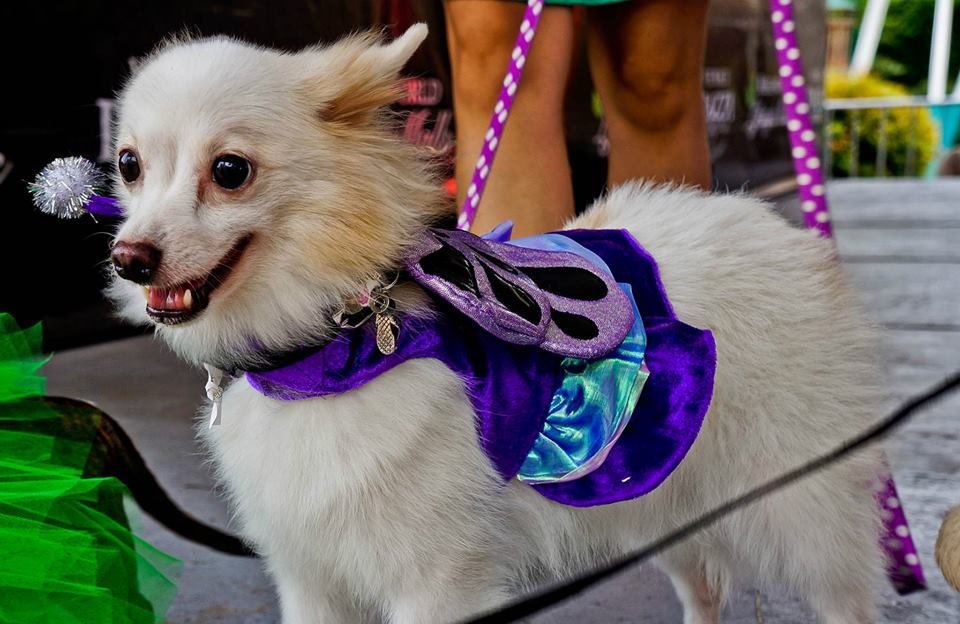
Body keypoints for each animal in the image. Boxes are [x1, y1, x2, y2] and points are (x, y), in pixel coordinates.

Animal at [107, 24, 885, 624]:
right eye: (129, 164)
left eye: (230, 170)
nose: (129, 260)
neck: (331, 346)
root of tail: (768, 223)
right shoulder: (312, 580)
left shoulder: (434, 582)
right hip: (664, 497)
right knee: (704, 591)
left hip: (799, 507)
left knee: (842, 597)